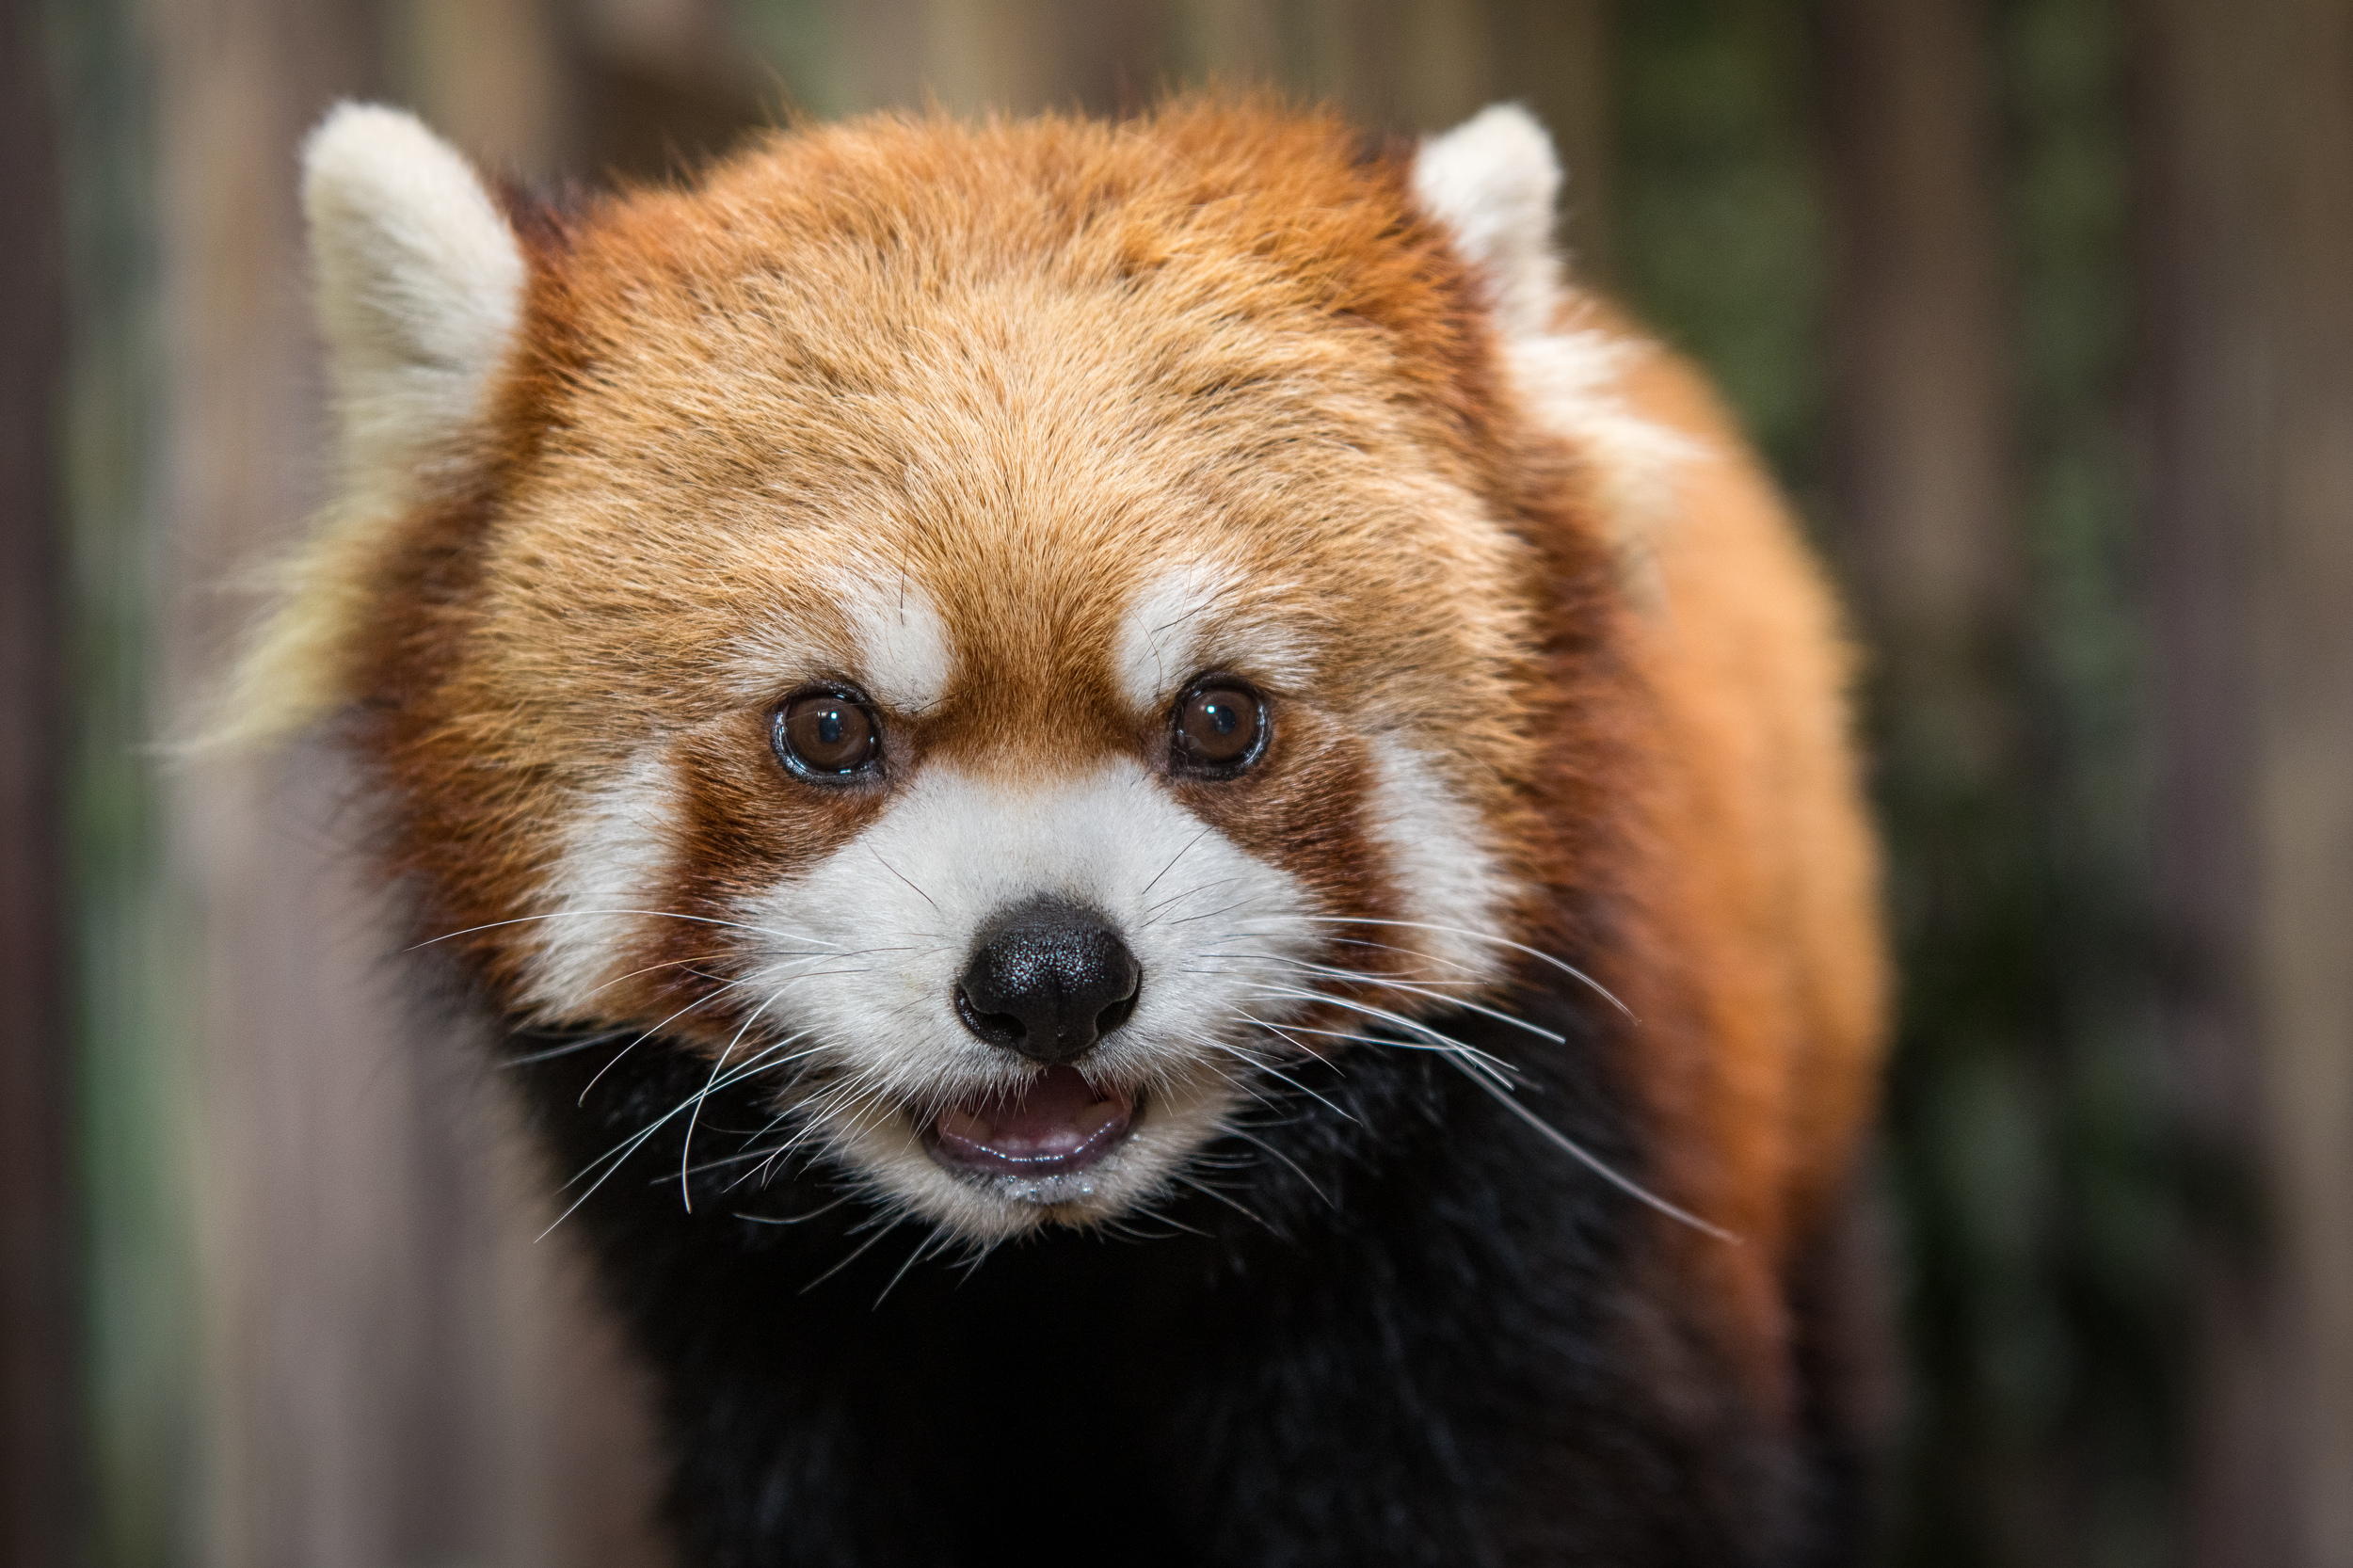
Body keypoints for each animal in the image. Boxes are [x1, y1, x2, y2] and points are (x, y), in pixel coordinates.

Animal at [224, 97, 1892, 1562]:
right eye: (827, 728)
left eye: (1220, 718)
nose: (1050, 978)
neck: (1058, 1274)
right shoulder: (770, 1351)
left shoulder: (1522, 1232)